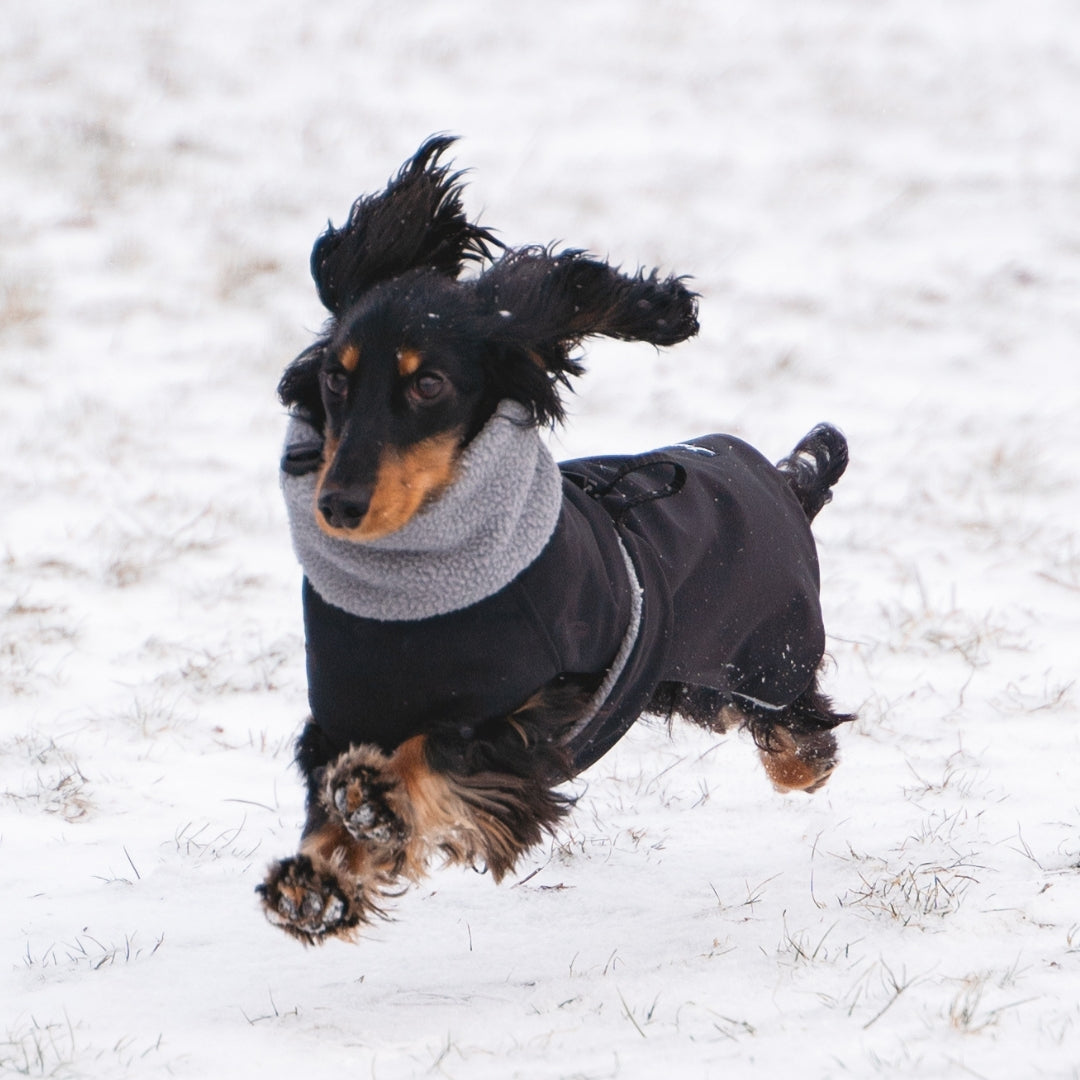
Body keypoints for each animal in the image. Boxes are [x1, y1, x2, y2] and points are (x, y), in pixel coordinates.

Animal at [254, 137, 851, 946]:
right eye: (336, 380)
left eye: (429, 385)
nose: (337, 505)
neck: (412, 592)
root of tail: (786, 483)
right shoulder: (344, 715)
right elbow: (330, 797)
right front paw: (316, 881)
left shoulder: (537, 711)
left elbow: (439, 753)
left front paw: (375, 802)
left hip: (759, 664)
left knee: (798, 736)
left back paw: (807, 760)